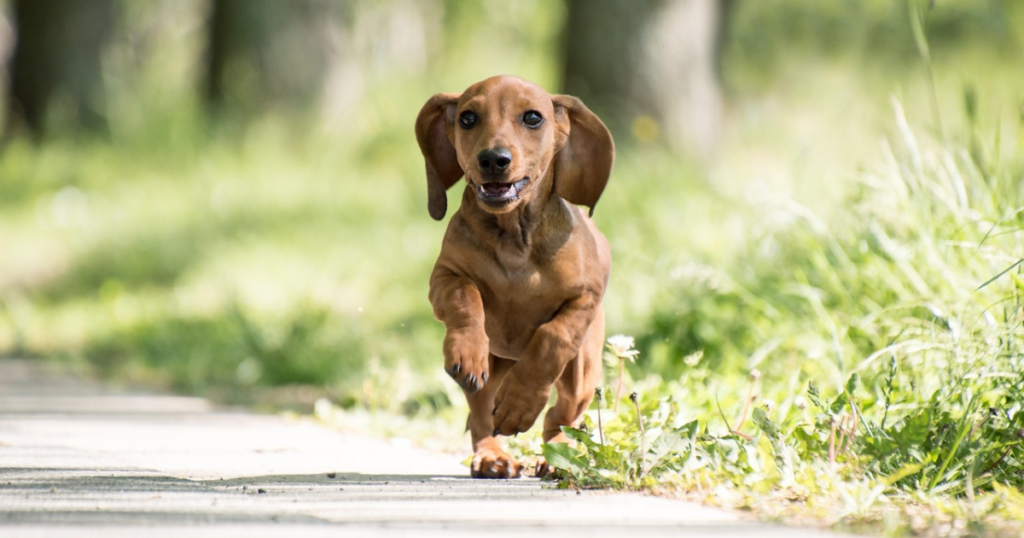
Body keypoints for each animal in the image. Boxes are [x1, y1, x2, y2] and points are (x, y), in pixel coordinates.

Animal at [413, 73, 610, 475]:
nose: (493, 159)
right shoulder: (444, 278)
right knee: (480, 416)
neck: (514, 237)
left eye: (533, 117)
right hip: (492, 370)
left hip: (582, 371)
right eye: (468, 118)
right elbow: (465, 296)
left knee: (561, 416)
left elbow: (552, 338)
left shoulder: (585, 296)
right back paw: (492, 456)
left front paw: (520, 404)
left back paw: (556, 454)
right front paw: (467, 347)